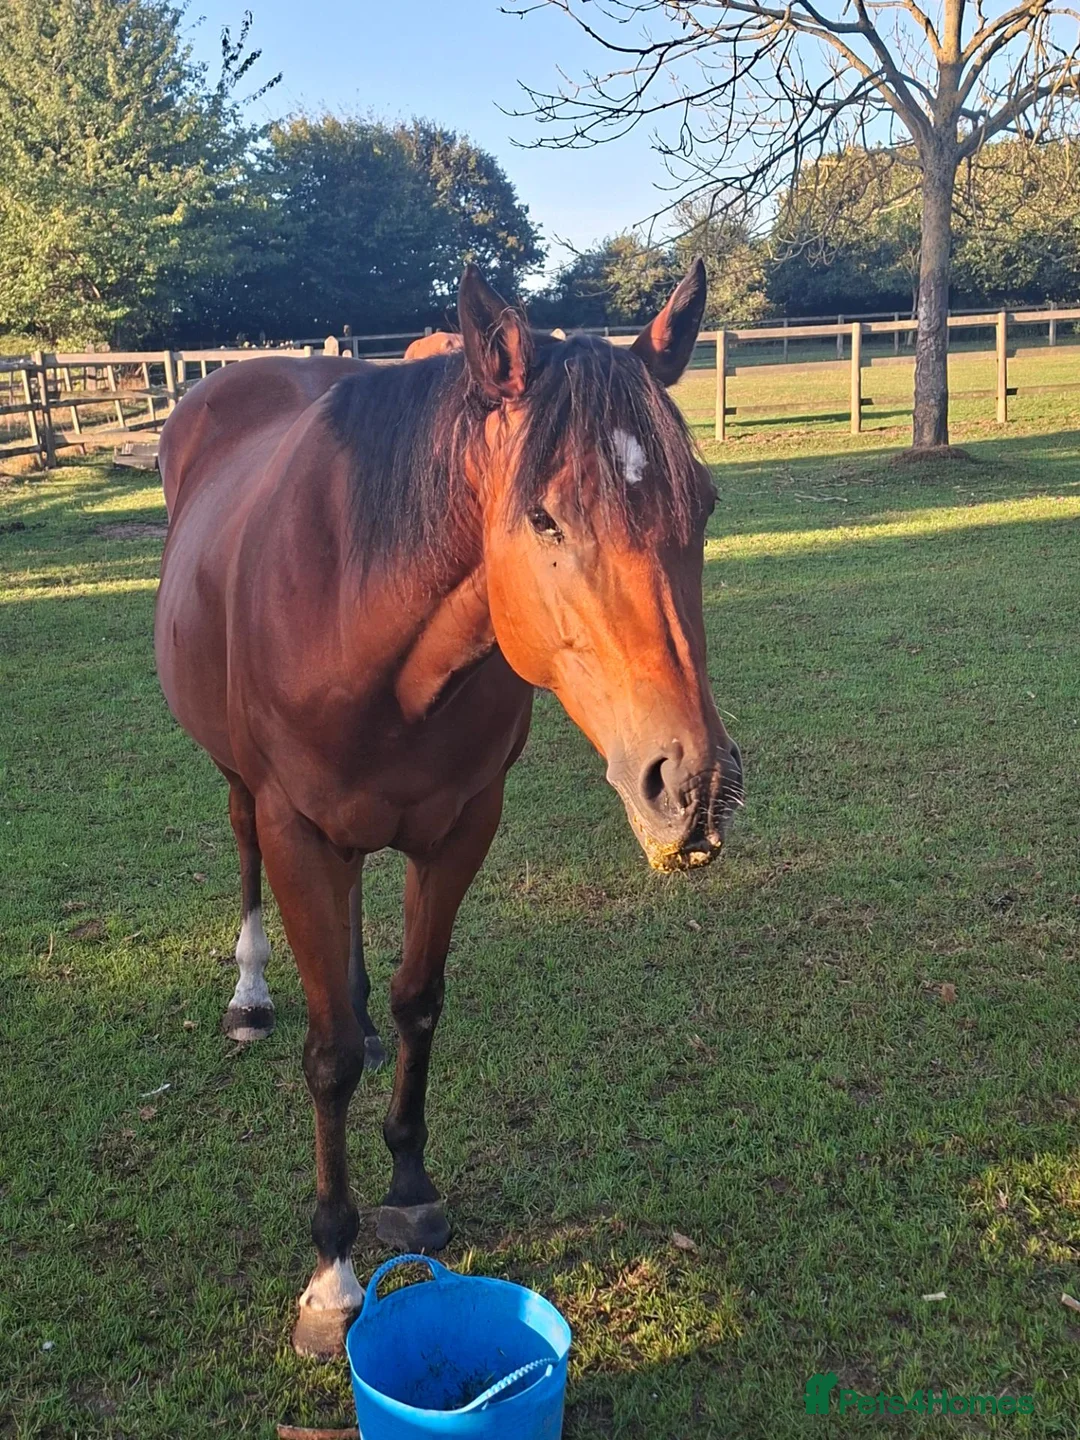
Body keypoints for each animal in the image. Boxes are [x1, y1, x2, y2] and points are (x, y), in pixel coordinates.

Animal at [154, 260, 742, 1359]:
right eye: (546, 519)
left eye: (707, 502)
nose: (690, 786)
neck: (365, 606)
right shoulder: (301, 831)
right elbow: (328, 1056)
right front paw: (332, 1275)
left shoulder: (463, 829)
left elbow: (418, 1002)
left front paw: (413, 1187)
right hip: (246, 790)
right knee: (243, 849)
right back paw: (251, 997)